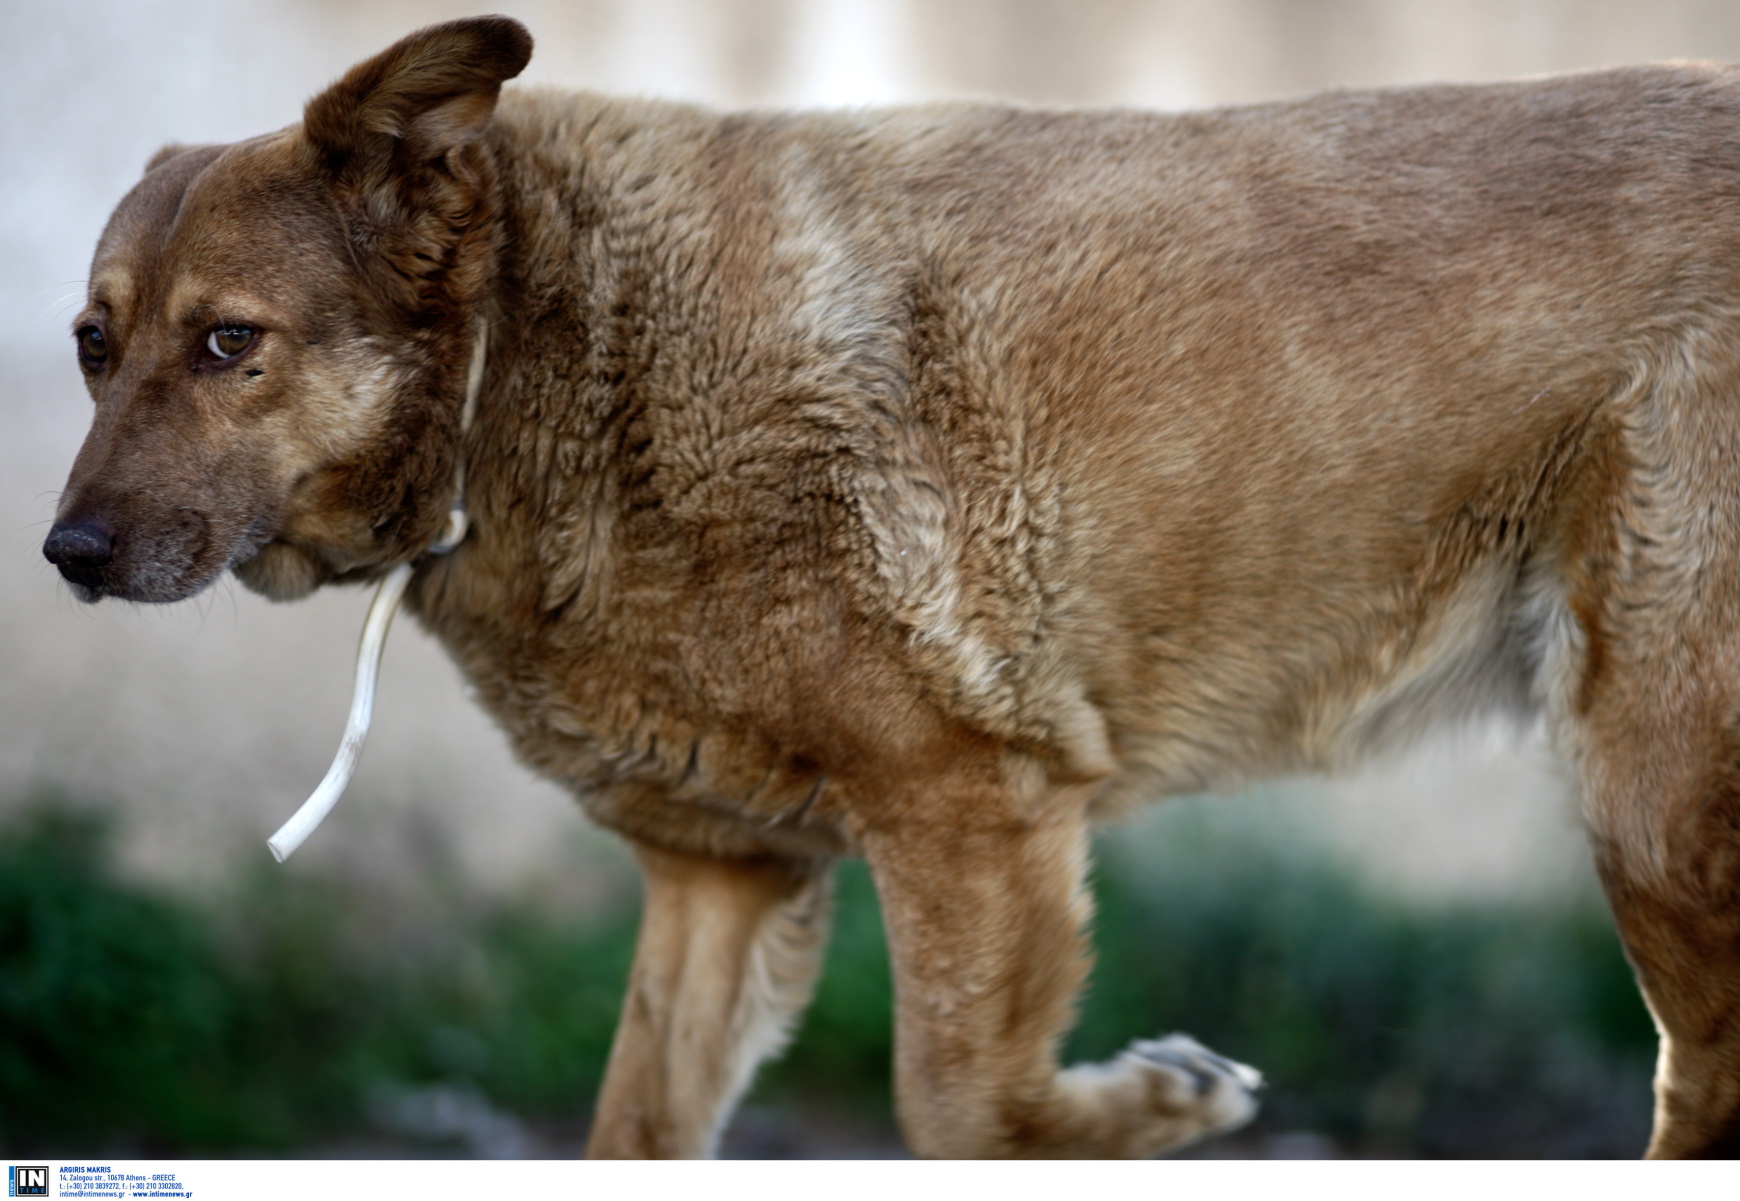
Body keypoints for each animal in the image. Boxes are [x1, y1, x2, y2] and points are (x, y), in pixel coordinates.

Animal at [44, 14, 1740, 1155]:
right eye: (91, 344)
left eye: (228, 342)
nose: (64, 559)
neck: (537, 350)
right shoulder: (721, 882)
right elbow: (636, 1129)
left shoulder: (967, 806)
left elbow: (962, 1102)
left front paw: (1157, 1105)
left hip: (1652, 804)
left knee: (1699, 1077)